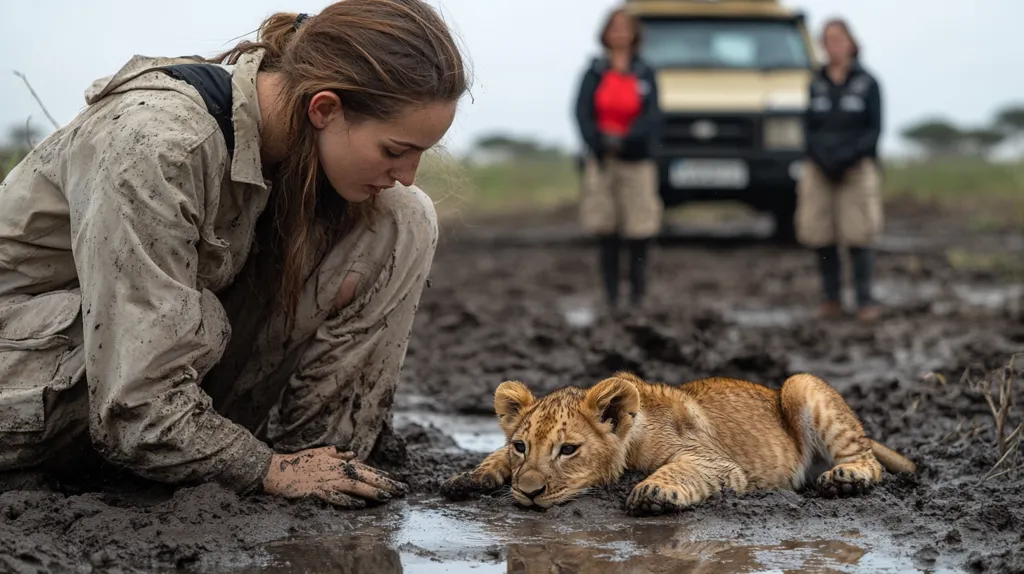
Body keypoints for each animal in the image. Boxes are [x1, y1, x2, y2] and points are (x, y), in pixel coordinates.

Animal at [439, 371, 916, 516]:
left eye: (569, 450)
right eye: (521, 447)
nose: (529, 493)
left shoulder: (719, 463)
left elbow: (682, 469)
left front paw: (652, 491)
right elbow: (493, 458)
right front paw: (467, 478)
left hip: (799, 385)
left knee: (869, 460)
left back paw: (844, 479)